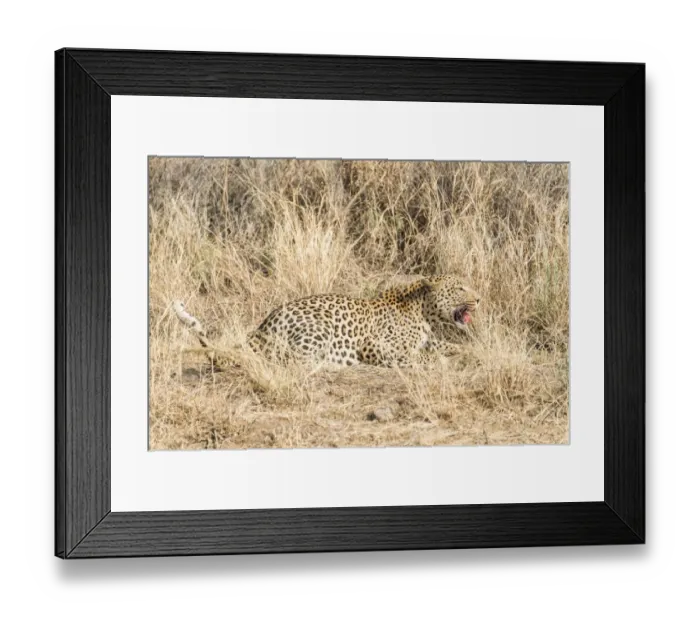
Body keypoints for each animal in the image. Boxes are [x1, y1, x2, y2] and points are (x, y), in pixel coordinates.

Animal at [173, 275, 480, 369]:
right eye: (460, 287)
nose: (479, 299)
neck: (423, 312)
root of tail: (261, 328)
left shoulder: (429, 340)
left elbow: (444, 346)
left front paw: (469, 351)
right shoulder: (374, 345)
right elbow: (416, 356)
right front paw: (436, 361)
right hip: (319, 328)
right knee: (292, 361)